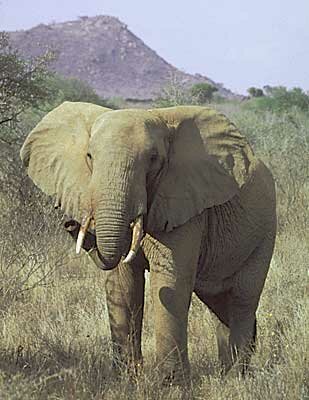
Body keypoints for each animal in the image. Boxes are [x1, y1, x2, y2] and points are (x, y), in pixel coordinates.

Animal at [20, 102, 276, 384]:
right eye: (89, 156)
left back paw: (237, 378)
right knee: (219, 304)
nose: (69, 222)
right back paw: (226, 374)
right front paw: (127, 379)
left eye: (153, 159)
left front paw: (170, 384)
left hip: (264, 234)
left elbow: (171, 283)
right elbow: (124, 283)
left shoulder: (183, 202)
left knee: (242, 299)